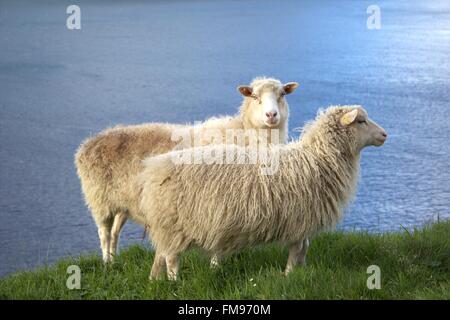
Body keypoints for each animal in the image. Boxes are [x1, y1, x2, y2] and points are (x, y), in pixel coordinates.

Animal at [138, 105, 386, 280]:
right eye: (361, 120)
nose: (384, 135)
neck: (317, 158)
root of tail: (153, 169)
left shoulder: (305, 219)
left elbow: (305, 248)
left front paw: (302, 271)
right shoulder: (298, 219)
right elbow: (297, 250)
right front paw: (289, 275)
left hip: (167, 226)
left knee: (160, 255)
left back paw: (154, 281)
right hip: (175, 224)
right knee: (171, 258)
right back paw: (174, 282)